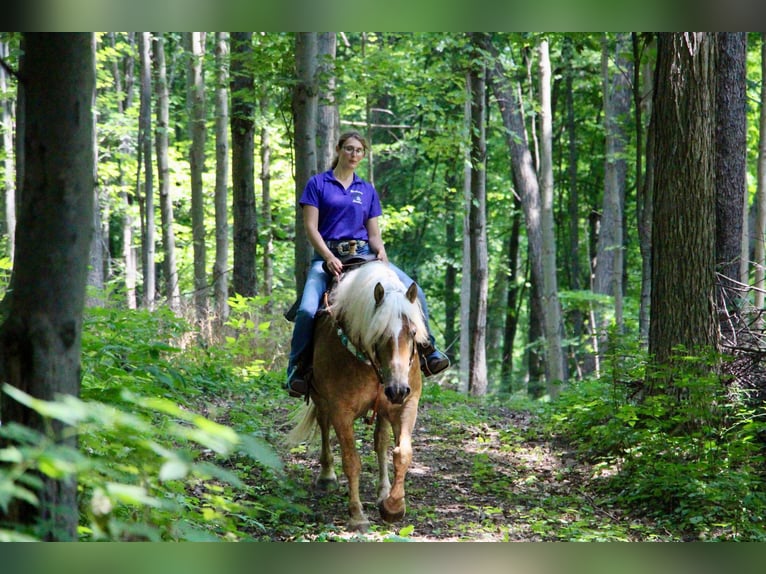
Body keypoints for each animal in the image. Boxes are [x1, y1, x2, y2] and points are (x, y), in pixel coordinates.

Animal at [290, 260, 432, 532]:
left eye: (412, 332)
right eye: (379, 334)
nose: (397, 389)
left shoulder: (406, 405)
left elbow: (402, 453)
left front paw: (393, 507)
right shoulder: (341, 411)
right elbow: (351, 461)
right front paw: (357, 515)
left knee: (381, 443)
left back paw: (383, 491)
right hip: (321, 399)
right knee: (324, 426)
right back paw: (327, 476)